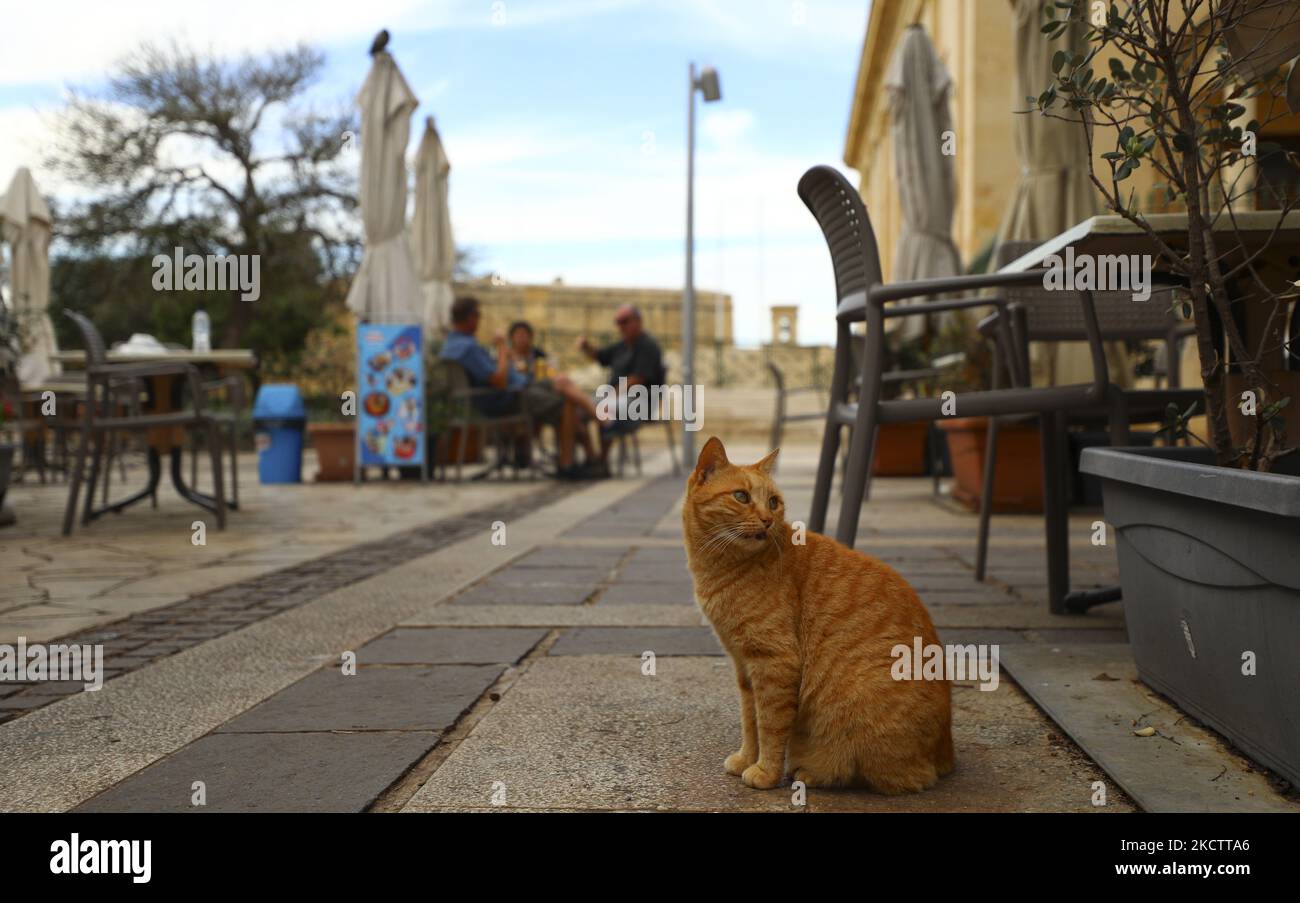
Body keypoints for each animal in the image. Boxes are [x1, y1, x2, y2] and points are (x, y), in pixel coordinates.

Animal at [686, 441, 951, 795]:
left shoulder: (774, 663)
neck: (721, 567)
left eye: (773, 502)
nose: (767, 519)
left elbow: (769, 726)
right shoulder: (744, 666)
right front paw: (746, 759)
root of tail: (946, 753)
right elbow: (749, 721)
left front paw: (765, 772)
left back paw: (810, 773)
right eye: (741, 496)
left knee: (889, 777)